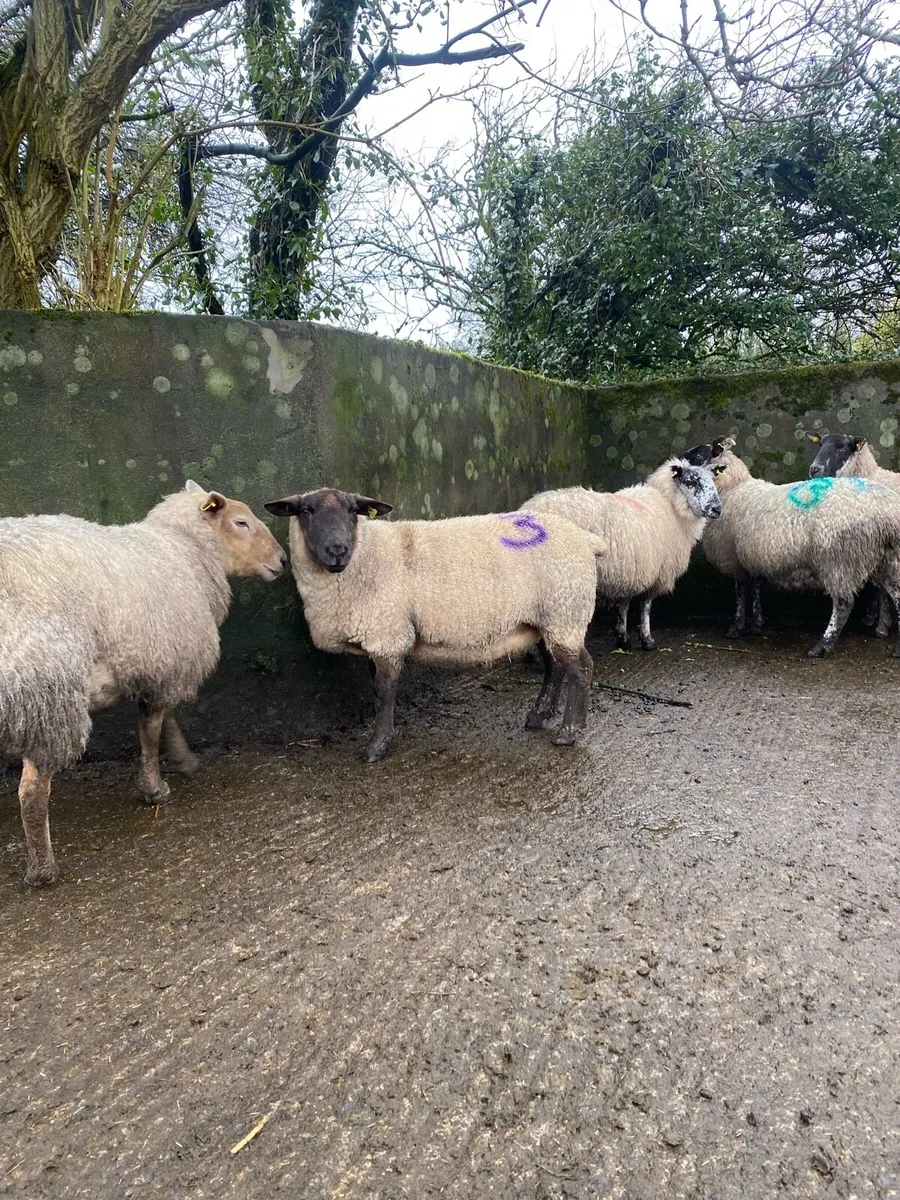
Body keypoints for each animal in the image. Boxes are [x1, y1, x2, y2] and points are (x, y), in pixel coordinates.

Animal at [0, 481, 286, 886]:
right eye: (241, 522)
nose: (283, 561)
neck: (185, 550)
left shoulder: (162, 667)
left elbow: (166, 722)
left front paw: (183, 759)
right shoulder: (165, 663)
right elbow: (149, 732)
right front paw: (155, 789)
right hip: (48, 695)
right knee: (31, 792)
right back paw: (42, 869)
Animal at [264, 488, 606, 761]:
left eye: (352, 511)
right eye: (305, 511)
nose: (337, 550)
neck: (365, 556)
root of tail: (587, 539)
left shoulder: (388, 635)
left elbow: (383, 691)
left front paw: (377, 746)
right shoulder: (378, 635)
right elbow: (377, 690)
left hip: (565, 611)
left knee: (581, 668)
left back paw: (569, 731)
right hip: (547, 619)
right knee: (555, 667)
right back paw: (539, 715)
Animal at [521, 458, 722, 651]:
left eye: (713, 480)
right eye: (691, 481)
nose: (717, 509)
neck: (670, 505)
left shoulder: (627, 572)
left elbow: (623, 605)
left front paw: (622, 638)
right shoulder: (654, 571)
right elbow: (645, 605)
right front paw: (647, 640)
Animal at [692, 439, 900, 658]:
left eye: (698, 456)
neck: (733, 489)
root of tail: (888, 514)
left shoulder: (733, 557)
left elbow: (740, 592)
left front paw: (736, 628)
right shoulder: (752, 556)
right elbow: (755, 587)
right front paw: (757, 624)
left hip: (839, 559)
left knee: (844, 603)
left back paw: (822, 646)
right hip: (888, 560)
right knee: (896, 596)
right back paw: (896, 649)